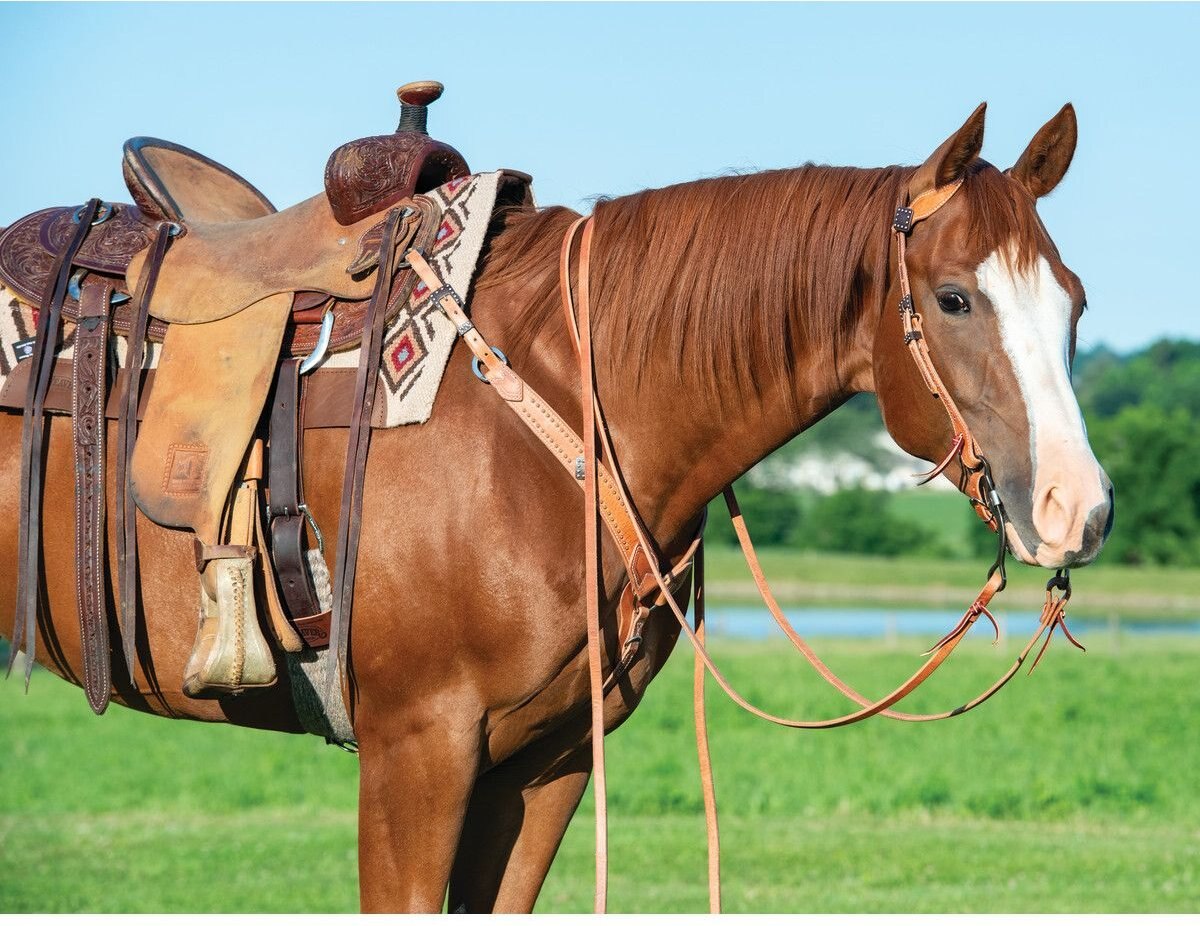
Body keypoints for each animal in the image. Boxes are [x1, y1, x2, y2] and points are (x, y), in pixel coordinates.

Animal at [0, 103, 1108, 911]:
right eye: (956, 298)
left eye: (1076, 300)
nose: (1078, 508)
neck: (546, 413)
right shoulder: (416, 752)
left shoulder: (549, 763)